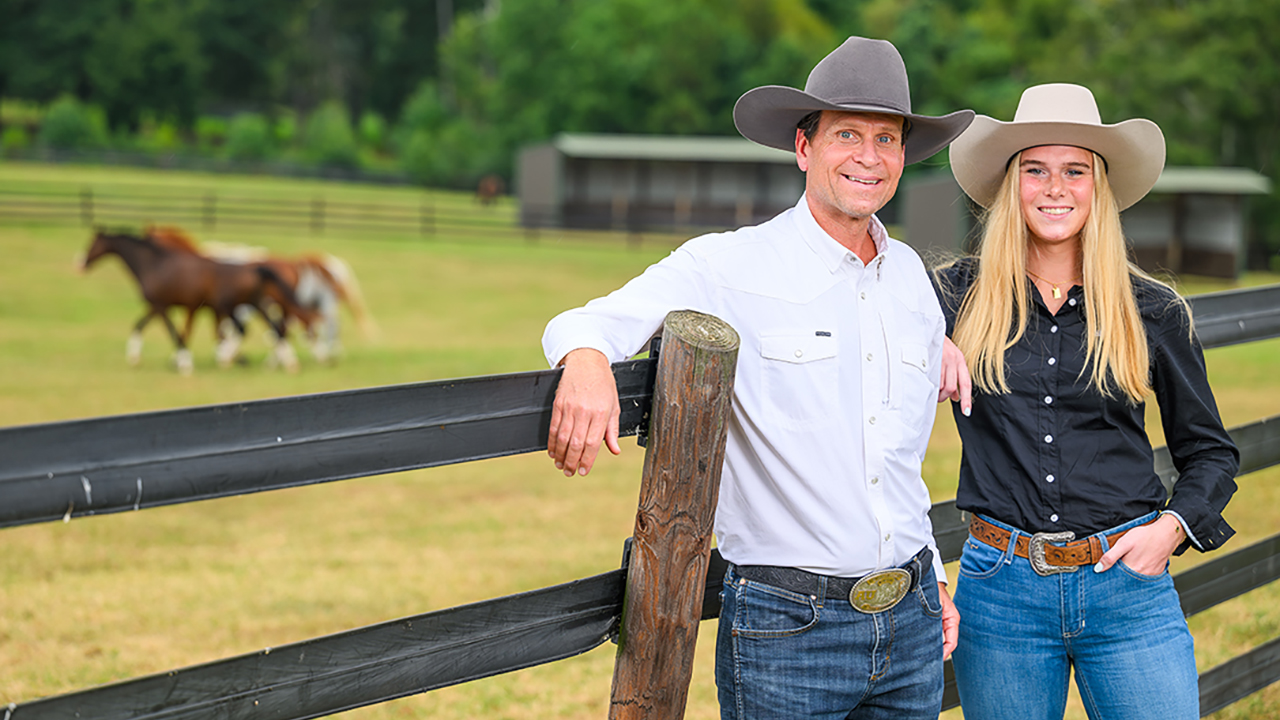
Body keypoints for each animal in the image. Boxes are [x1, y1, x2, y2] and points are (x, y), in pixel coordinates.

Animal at [80, 228, 314, 376]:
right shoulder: (167, 306)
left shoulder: (162, 305)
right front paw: (136, 358)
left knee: (245, 329)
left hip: (229, 305)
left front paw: (184, 364)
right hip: (253, 304)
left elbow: (174, 333)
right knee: (275, 329)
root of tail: (256, 269)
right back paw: (286, 363)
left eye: (92, 244)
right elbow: (142, 326)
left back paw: (228, 358)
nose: (81, 263)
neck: (154, 264)